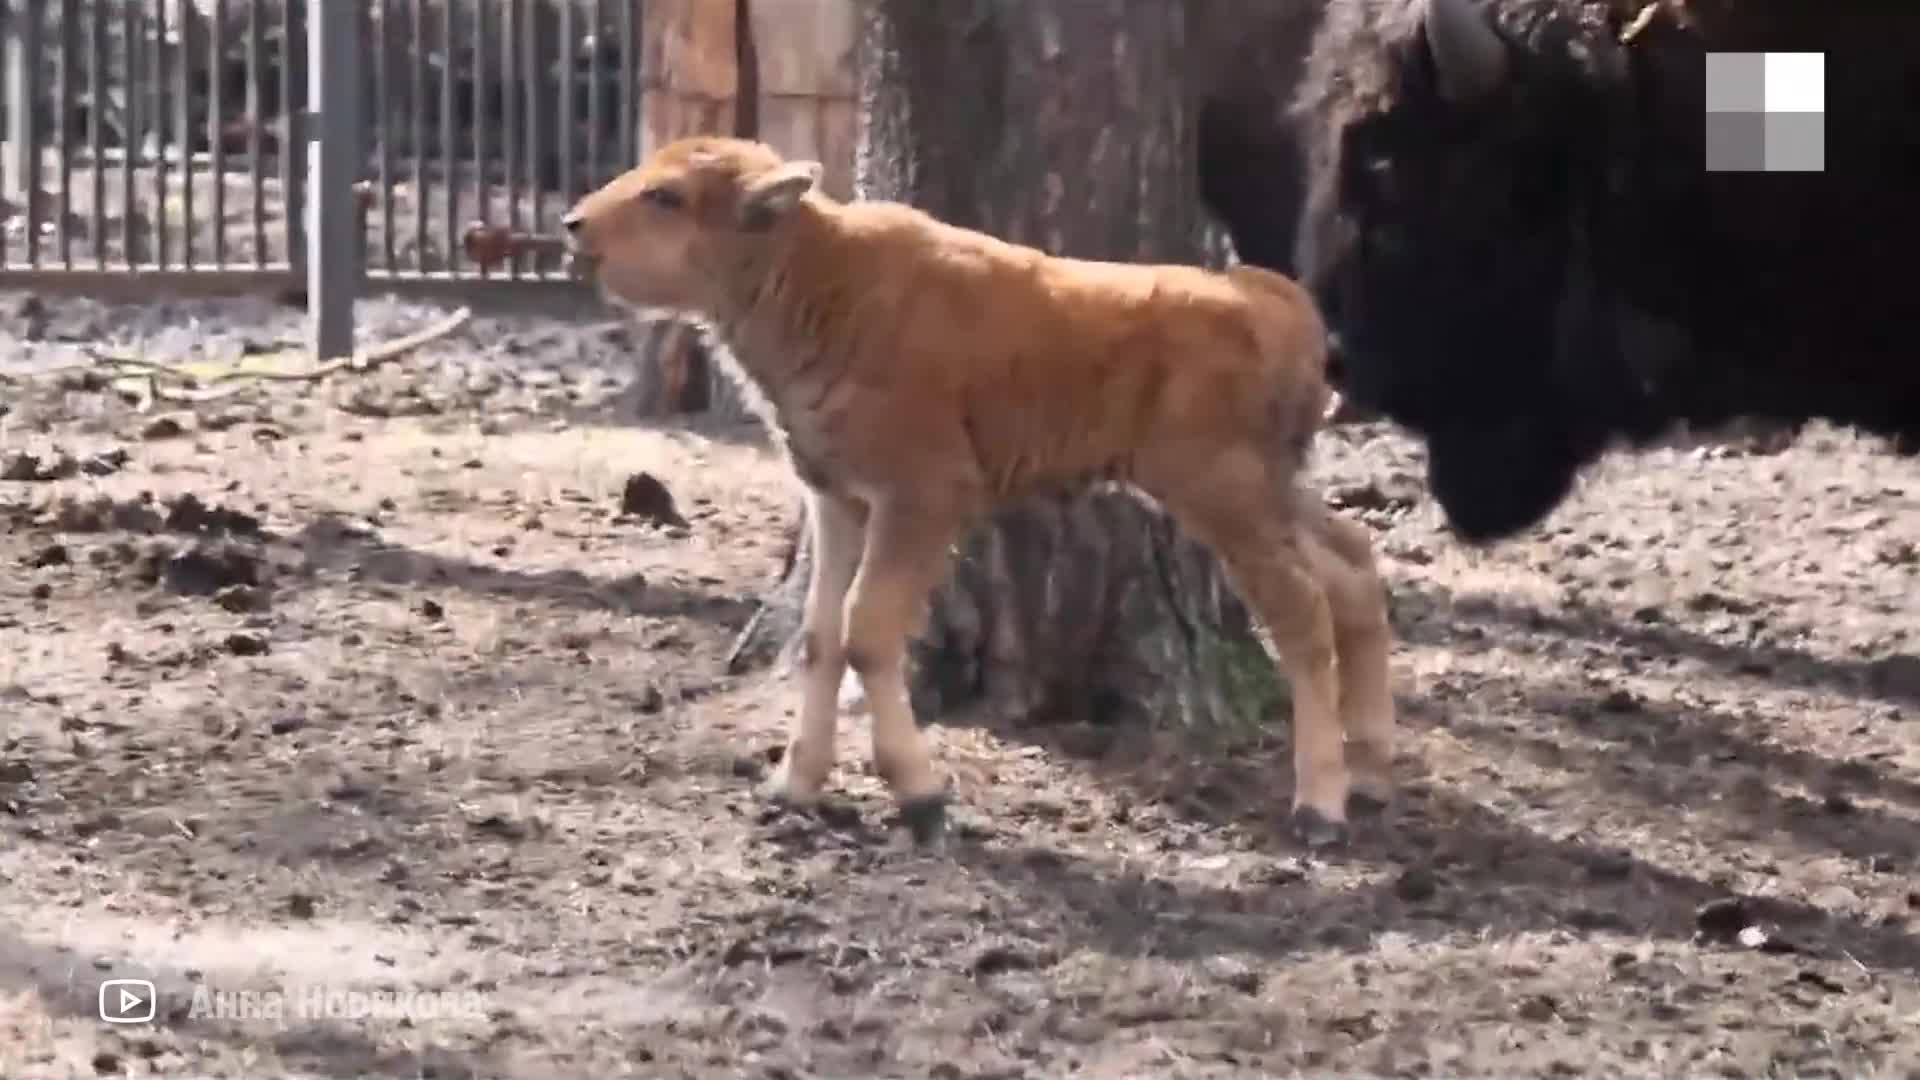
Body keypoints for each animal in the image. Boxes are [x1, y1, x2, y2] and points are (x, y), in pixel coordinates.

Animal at [556, 134, 1397, 845]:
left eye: (665, 195)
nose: (573, 225)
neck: (821, 274)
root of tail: (1269, 300)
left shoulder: (921, 499)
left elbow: (867, 632)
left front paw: (920, 797)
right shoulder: (838, 497)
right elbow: (823, 636)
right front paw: (791, 789)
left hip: (1223, 495)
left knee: (1302, 613)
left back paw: (1319, 807)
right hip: (1271, 490)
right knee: (1353, 566)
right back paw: (1369, 769)